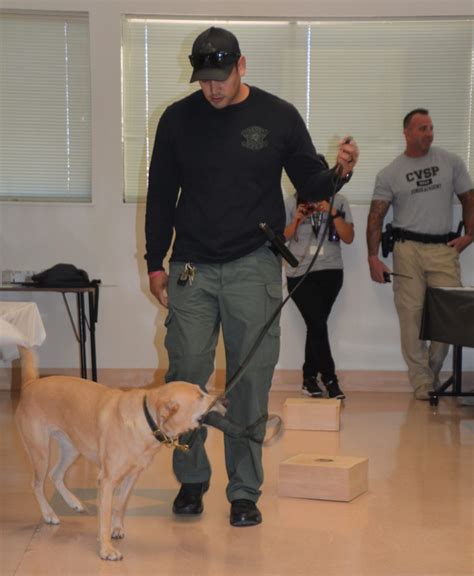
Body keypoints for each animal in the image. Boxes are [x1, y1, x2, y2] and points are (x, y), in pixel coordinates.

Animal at [14, 348, 226, 560]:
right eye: (199, 396)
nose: (225, 399)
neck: (147, 419)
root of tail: (31, 383)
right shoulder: (107, 481)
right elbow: (105, 514)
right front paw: (106, 549)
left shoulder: (132, 476)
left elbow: (120, 504)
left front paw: (115, 529)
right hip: (40, 451)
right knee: (37, 484)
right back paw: (49, 514)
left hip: (71, 448)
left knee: (55, 475)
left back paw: (73, 502)